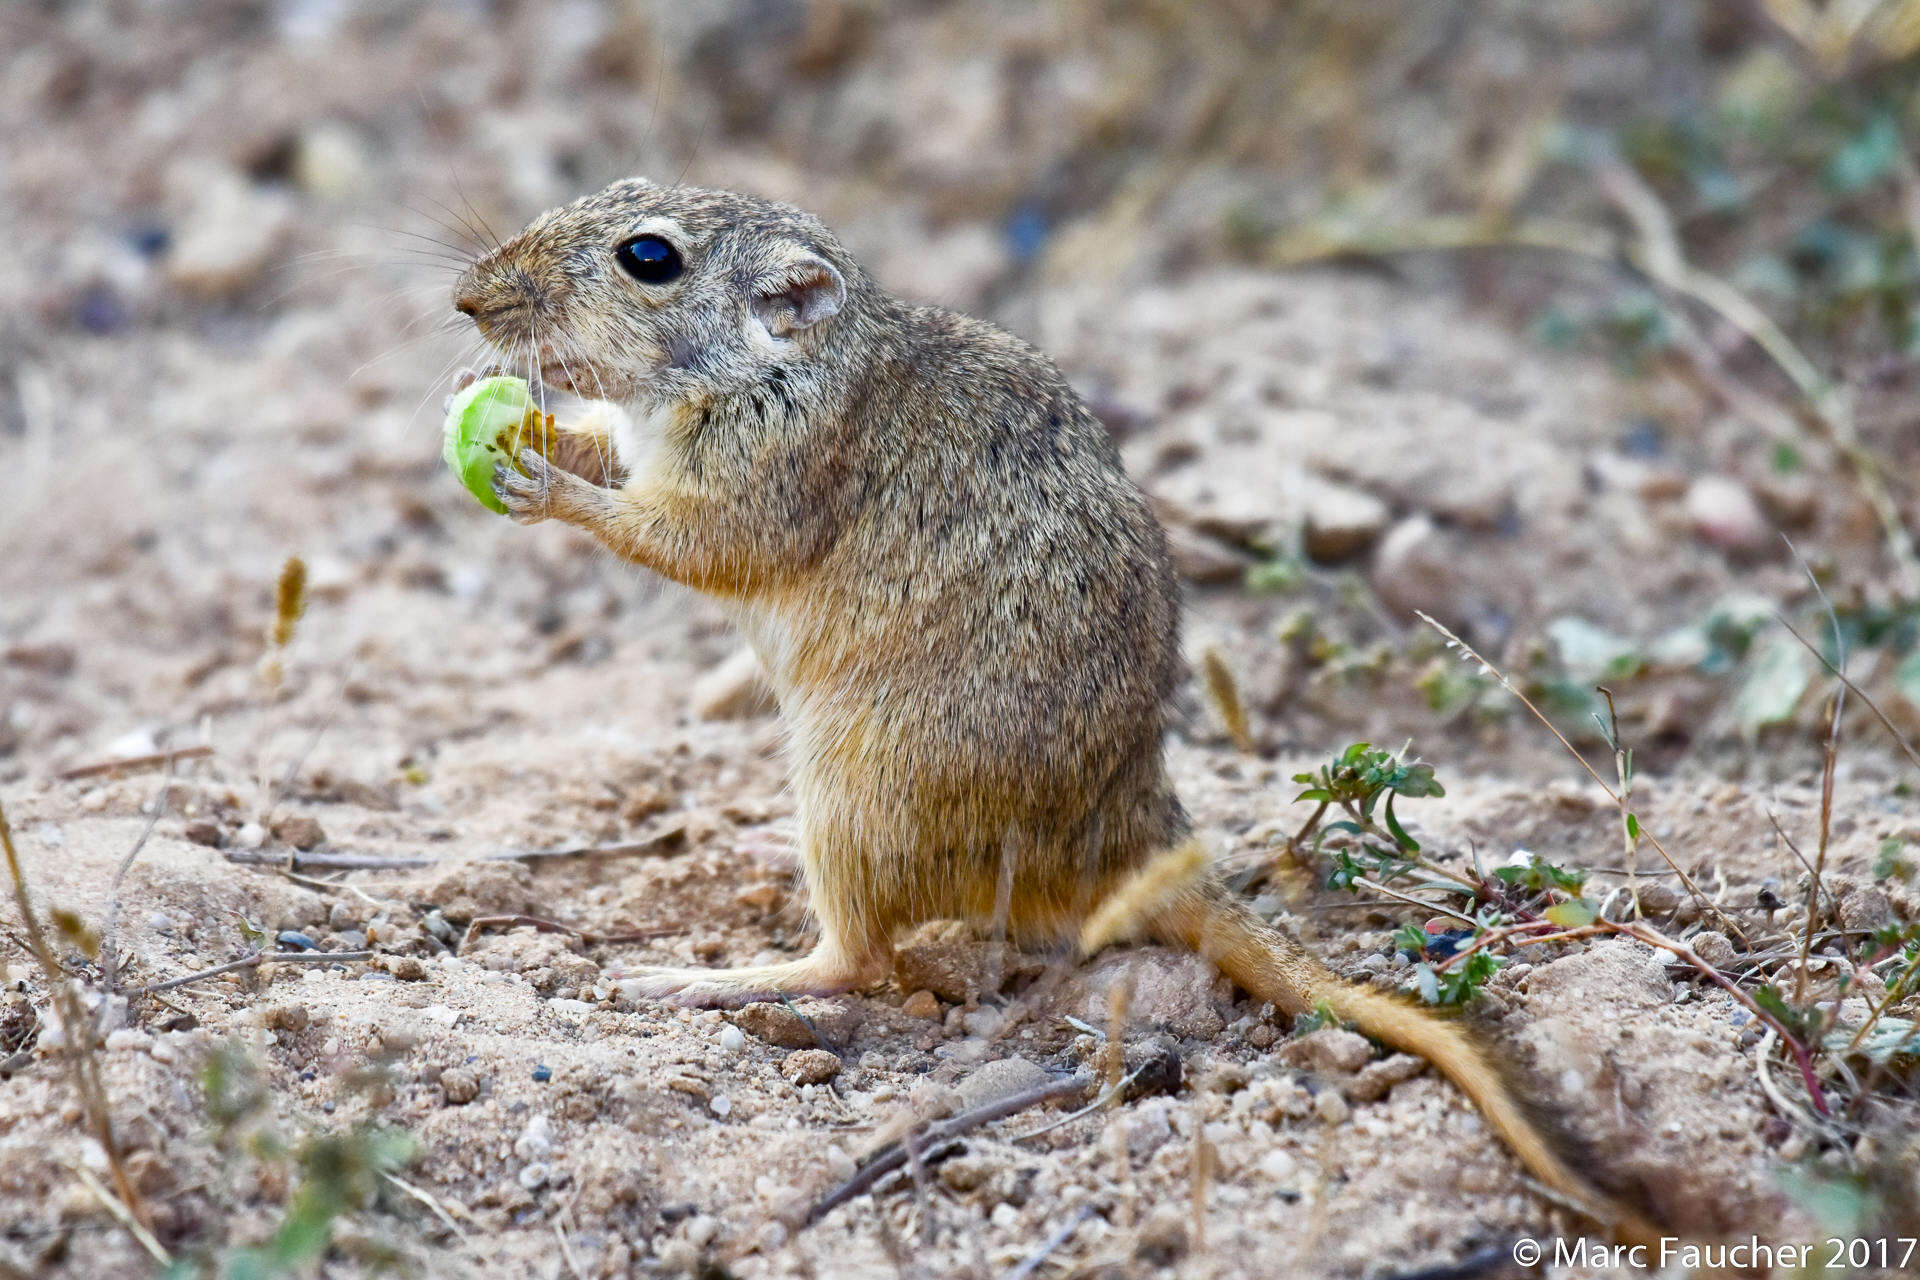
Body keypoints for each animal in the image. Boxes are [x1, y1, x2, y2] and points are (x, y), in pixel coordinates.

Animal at [445, 177, 1651, 1243]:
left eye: (648, 257)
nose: (469, 298)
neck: (793, 360)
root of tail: (1131, 834)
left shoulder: (749, 493)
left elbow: (662, 533)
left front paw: (541, 483)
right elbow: (607, 450)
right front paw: (535, 429)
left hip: (843, 803)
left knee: (855, 961)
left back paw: (687, 979)